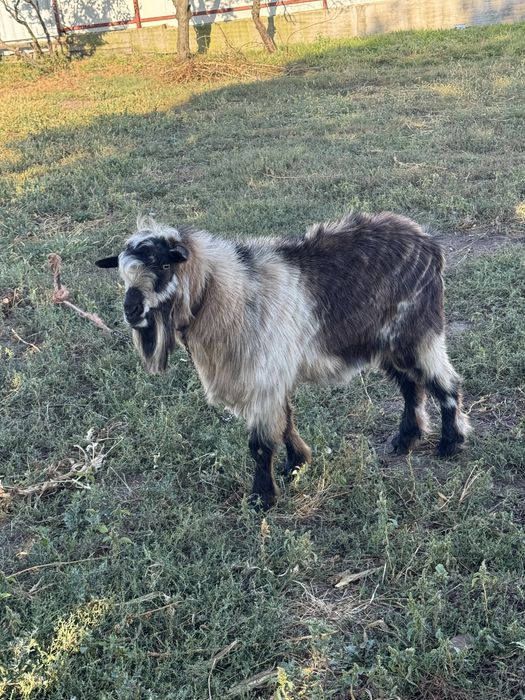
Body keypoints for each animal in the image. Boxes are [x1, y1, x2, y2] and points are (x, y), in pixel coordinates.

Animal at [95, 212, 470, 510]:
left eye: (163, 264)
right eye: (123, 274)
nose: (131, 311)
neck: (228, 293)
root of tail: (428, 243)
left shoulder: (263, 375)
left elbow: (260, 445)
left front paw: (262, 498)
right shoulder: (271, 377)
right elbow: (286, 421)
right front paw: (297, 464)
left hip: (417, 331)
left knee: (444, 383)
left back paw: (451, 442)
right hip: (386, 341)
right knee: (411, 385)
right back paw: (405, 439)